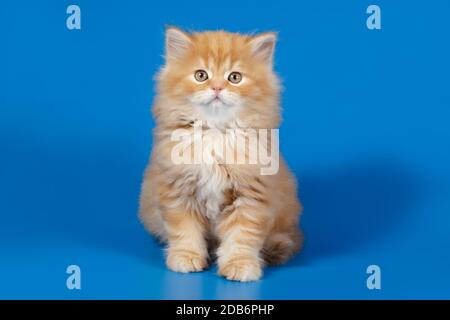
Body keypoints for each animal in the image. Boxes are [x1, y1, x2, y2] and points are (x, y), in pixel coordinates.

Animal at [139, 28, 304, 282]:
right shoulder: (177, 189)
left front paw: (240, 264)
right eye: (201, 75)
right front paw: (186, 257)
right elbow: (184, 230)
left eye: (234, 77)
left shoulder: (251, 193)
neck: (215, 133)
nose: (217, 88)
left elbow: (242, 236)